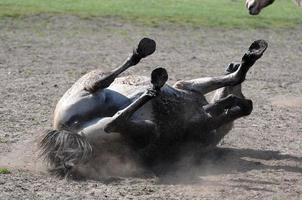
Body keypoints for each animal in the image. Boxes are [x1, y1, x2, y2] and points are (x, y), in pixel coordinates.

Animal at [39, 37, 266, 178]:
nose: (231, 64)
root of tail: (66, 130)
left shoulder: (197, 114)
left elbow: (229, 101)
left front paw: (235, 102)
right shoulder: (189, 87)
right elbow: (234, 80)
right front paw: (250, 57)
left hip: (143, 128)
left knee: (113, 121)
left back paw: (151, 86)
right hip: (89, 91)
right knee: (102, 86)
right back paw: (146, 65)